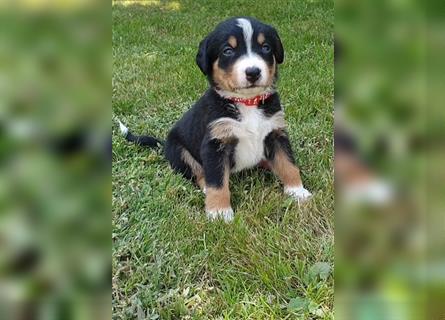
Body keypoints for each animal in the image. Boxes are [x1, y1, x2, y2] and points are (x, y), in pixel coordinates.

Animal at [119, 16, 312, 221]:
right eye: (228, 51)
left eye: (265, 47)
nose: (253, 72)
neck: (247, 103)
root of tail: (164, 144)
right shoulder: (215, 144)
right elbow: (217, 181)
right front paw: (219, 212)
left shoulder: (275, 133)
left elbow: (288, 164)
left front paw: (297, 191)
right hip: (179, 151)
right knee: (198, 173)